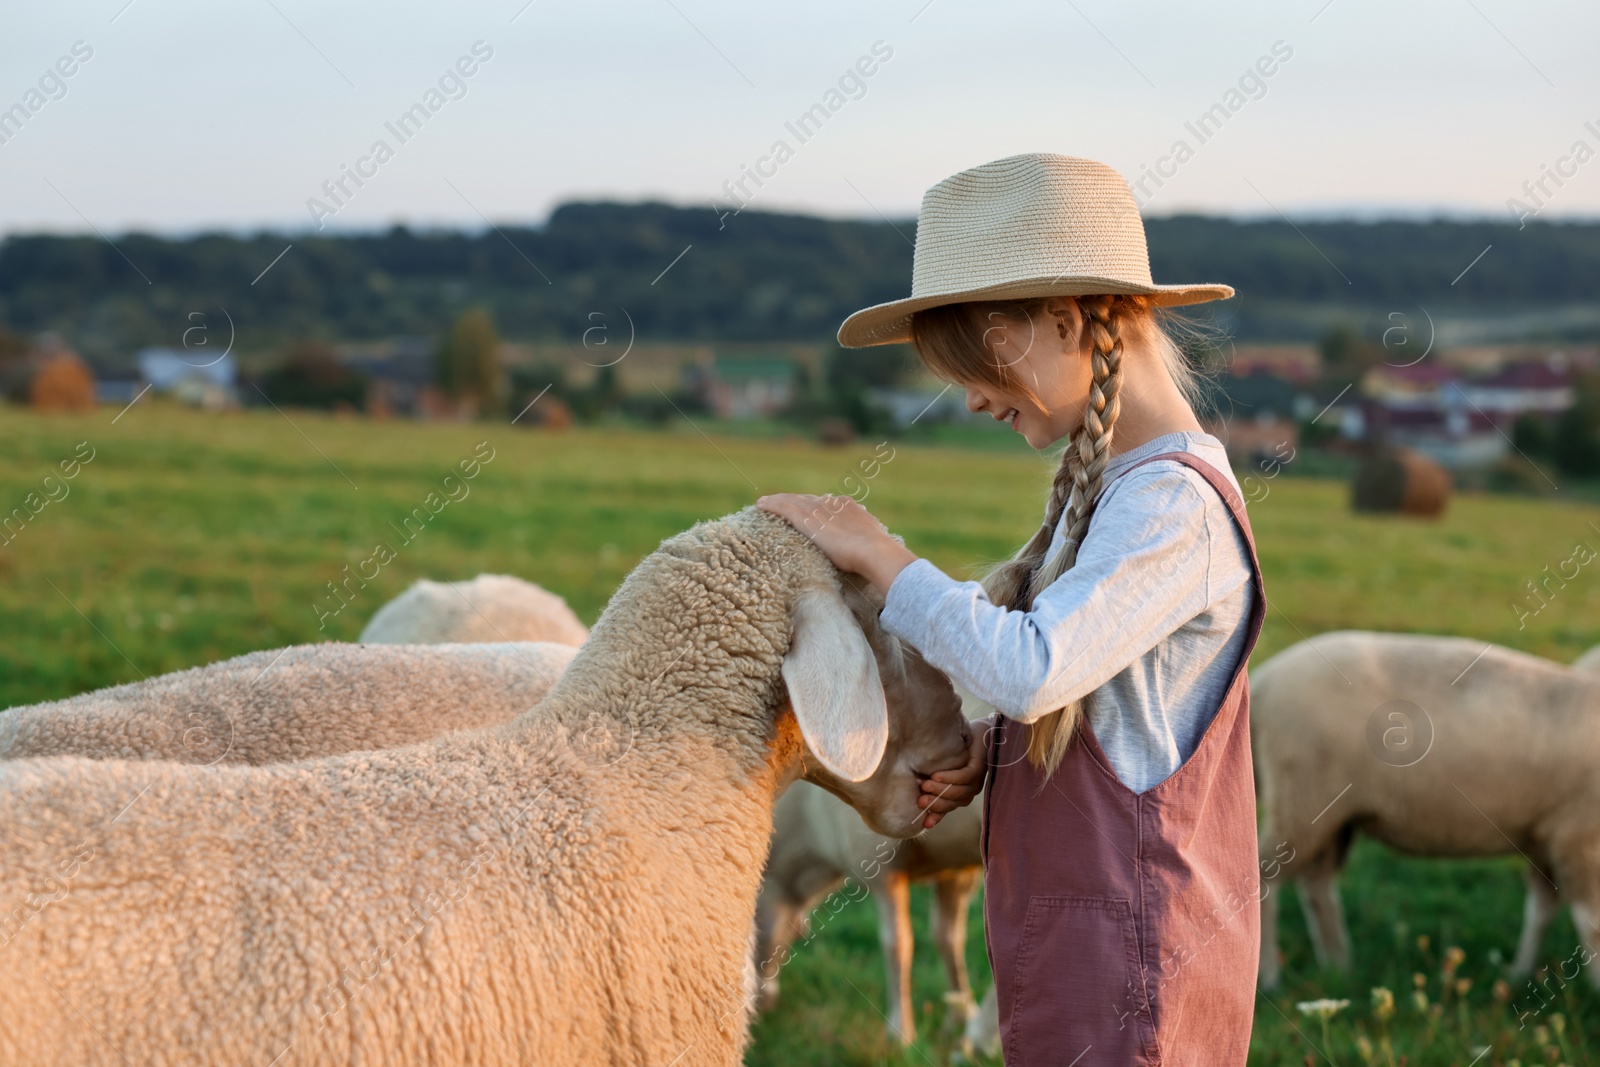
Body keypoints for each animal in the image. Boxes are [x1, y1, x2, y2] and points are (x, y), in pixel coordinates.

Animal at [752, 780, 985, 1049]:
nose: (759, 1004)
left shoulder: (876, 860)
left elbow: (898, 946)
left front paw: (900, 1033)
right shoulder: (955, 872)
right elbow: (949, 939)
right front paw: (960, 1016)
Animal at [1254, 627, 1600, 991]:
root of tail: (1264, 681)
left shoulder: (1549, 835)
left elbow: (1541, 910)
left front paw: (1519, 973)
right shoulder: (1579, 837)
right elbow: (1590, 920)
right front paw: (1594, 985)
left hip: (1332, 813)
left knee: (1316, 885)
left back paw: (1338, 969)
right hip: (1302, 797)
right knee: (1263, 876)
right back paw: (1270, 977)